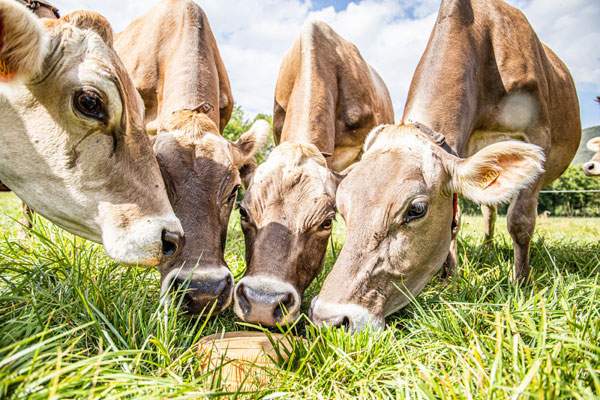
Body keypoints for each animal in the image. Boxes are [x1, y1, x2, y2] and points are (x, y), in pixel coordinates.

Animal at [308, 0, 580, 332]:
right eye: (342, 209)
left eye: (416, 209)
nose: (329, 318)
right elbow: (457, 218)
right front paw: (449, 278)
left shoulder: (537, 137)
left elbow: (520, 221)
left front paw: (521, 283)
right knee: (488, 210)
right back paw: (487, 247)